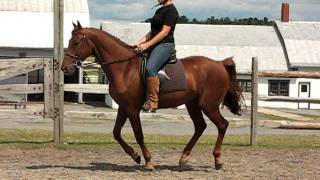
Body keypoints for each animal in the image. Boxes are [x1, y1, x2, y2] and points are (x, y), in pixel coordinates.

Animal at [62, 22, 242, 170]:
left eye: (76, 42)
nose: (65, 68)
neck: (124, 67)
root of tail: (219, 64)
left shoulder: (132, 109)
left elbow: (139, 134)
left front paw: (148, 161)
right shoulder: (124, 107)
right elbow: (116, 133)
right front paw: (135, 156)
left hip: (209, 105)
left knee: (222, 125)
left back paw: (217, 161)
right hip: (193, 104)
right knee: (200, 127)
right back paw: (184, 158)